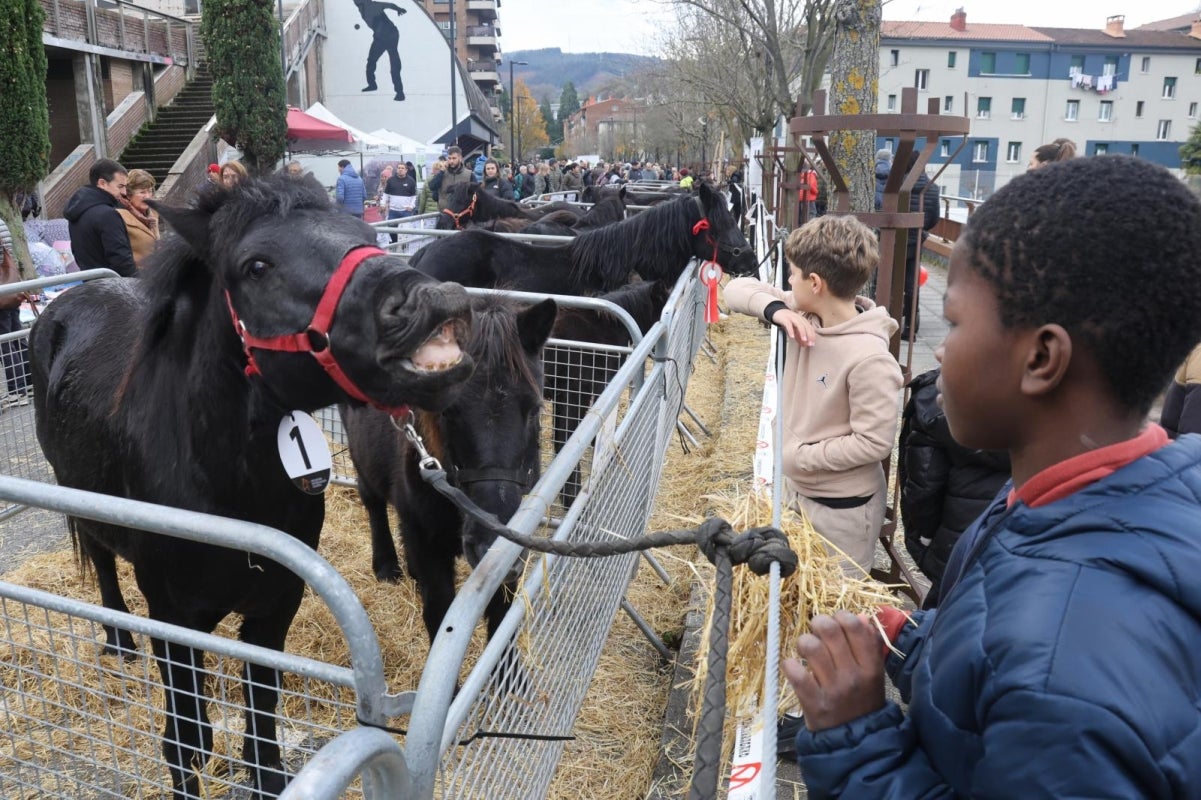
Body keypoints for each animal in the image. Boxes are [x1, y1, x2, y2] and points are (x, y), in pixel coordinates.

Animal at [32, 176, 473, 797]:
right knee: (100, 559)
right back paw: (119, 641)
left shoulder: (276, 605)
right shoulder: (174, 619)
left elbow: (261, 723)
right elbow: (185, 742)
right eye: (256, 265)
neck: (221, 483)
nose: (433, 302)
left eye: (362, 232)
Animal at [343, 293, 557, 643]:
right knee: (372, 500)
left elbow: (501, 621)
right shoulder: (427, 544)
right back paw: (387, 565)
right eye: (447, 411)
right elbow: (439, 613)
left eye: (534, 409)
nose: (489, 543)